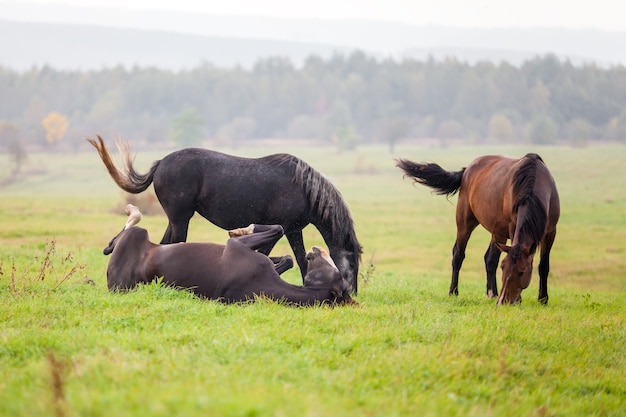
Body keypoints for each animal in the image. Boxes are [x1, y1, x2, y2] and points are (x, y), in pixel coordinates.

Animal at [88, 136, 360, 292]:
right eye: (353, 263)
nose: (351, 292)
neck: (302, 187)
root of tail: (161, 163)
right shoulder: (282, 228)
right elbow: (268, 253)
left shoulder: (294, 231)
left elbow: (302, 261)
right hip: (180, 217)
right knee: (172, 242)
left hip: (176, 218)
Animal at [105, 202, 354, 304]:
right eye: (340, 276)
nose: (316, 250)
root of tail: (111, 285)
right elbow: (286, 257)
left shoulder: (237, 248)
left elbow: (277, 229)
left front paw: (242, 229)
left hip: (136, 236)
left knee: (124, 231)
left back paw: (131, 210)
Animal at [394, 154, 556, 304]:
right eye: (503, 268)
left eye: (521, 272)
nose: (504, 301)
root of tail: (467, 170)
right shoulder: (513, 227)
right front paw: (522, 299)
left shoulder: (550, 232)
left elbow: (544, 265)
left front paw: (543, 299)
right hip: (465, 222)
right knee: (458, 254)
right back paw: (454, 292)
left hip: (498, 231)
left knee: (490, 258)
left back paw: (492, 293)